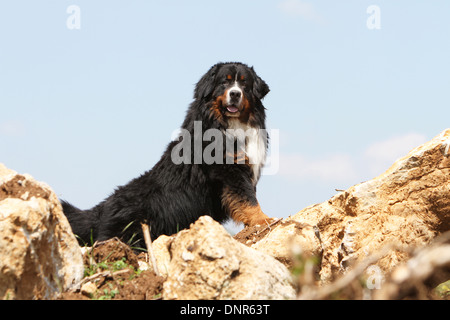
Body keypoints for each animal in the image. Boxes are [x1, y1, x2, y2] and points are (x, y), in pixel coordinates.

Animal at [61, 62, 276, 248]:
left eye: (244, 84)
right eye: (225, 82)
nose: (235, 93)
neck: (231, 125)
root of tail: (101, 208)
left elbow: (246, 199)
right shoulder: (229, 170)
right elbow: (247, 199)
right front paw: (265, 219)